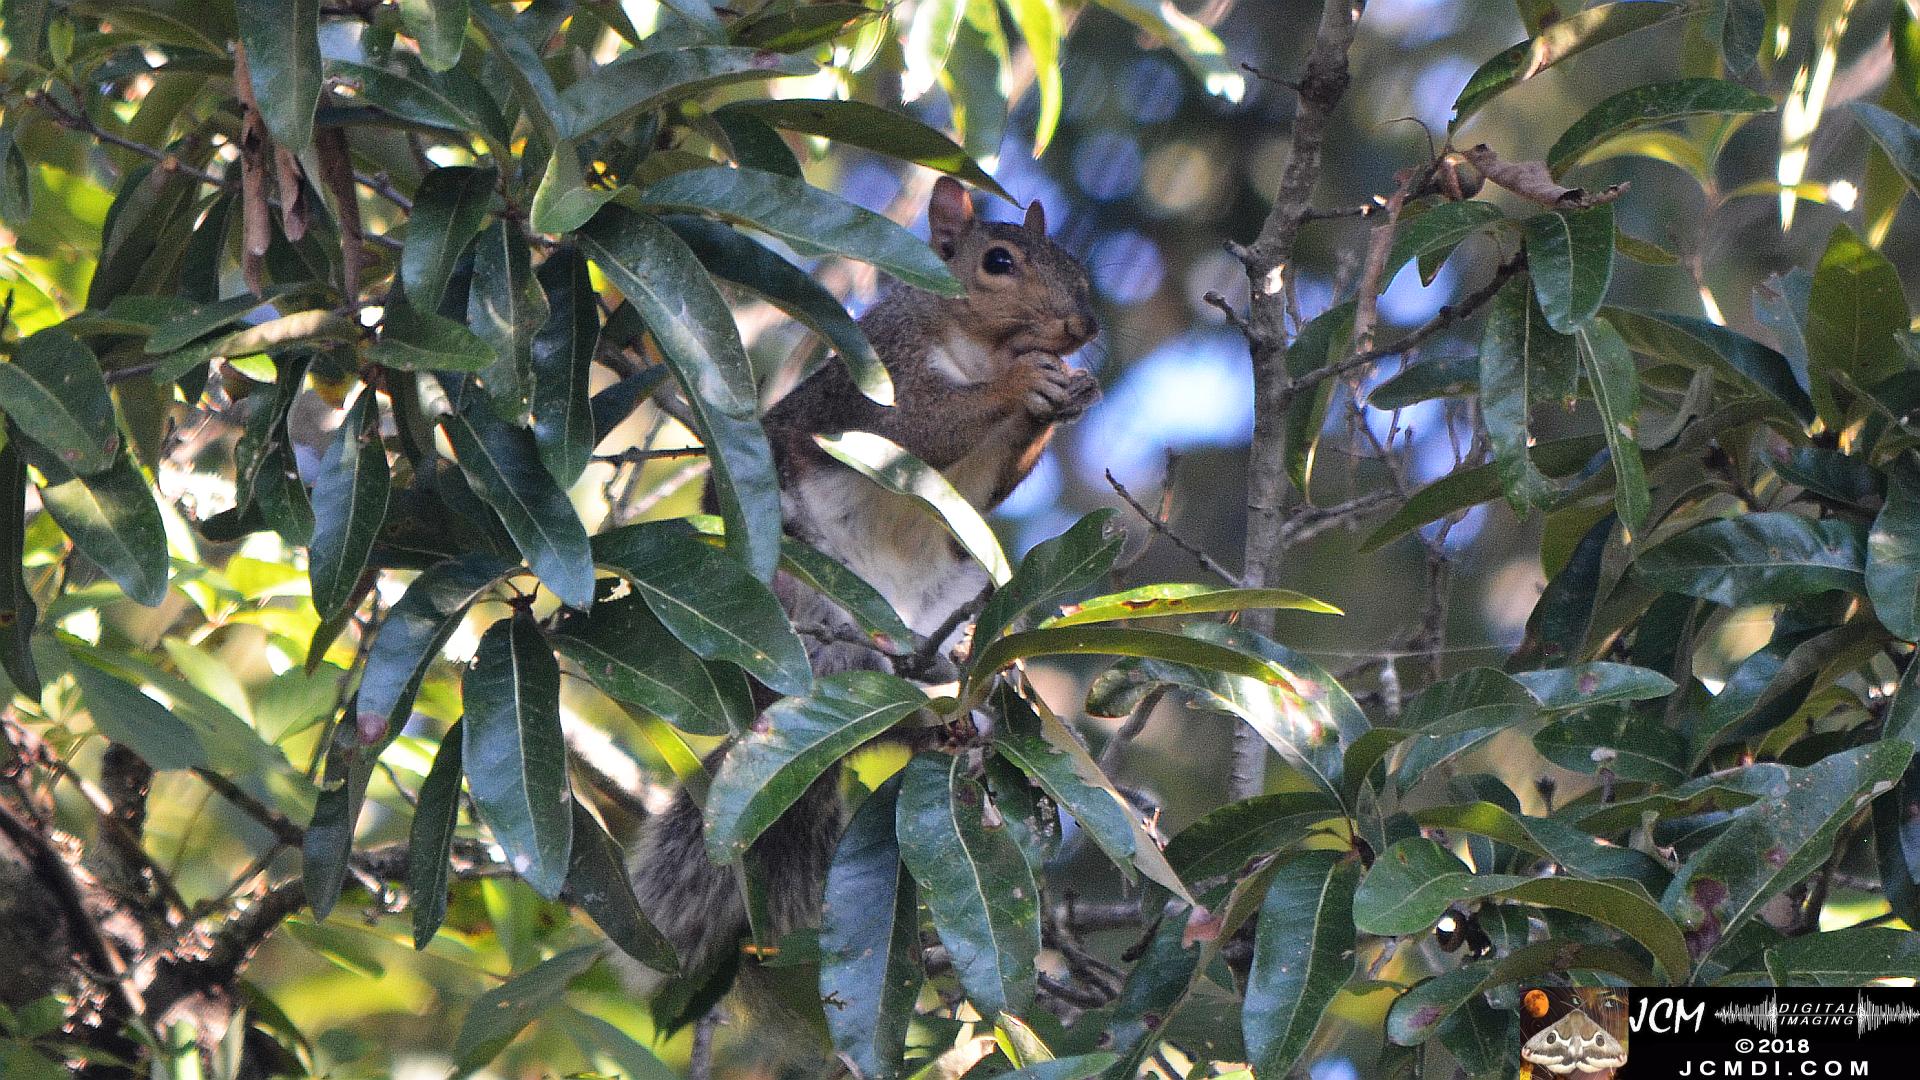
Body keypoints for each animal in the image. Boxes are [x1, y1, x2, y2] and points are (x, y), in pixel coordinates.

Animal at [621, 177, 1099, 1000]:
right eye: (998, 261)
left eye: (1071, 256)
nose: (1083, 325)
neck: (972, 341)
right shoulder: (878, 381)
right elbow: (921, 425)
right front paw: (1025, 383)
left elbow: (999, 479)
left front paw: (1072, 391)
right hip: (802, 601)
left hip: (950, 613)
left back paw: (958, 721)